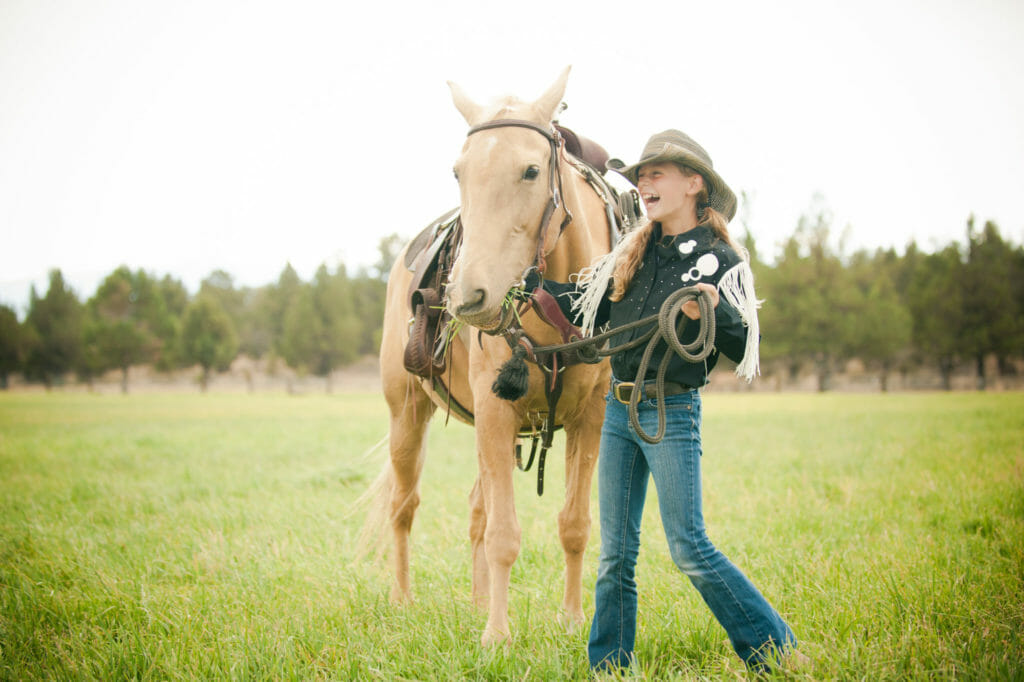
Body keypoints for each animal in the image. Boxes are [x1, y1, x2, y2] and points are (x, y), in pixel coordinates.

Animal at [376, 69, 614, 643]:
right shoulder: (495, 408)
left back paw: (478, 601)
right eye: (458, 171)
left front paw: (573, 621)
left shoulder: (589, 418)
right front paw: (498, 636)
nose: (466, 297)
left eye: (531, 170)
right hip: (407, 413)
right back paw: (403, 599)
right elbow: (505, 534)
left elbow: (574, 525)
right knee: (403, 505)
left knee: (476, 509)